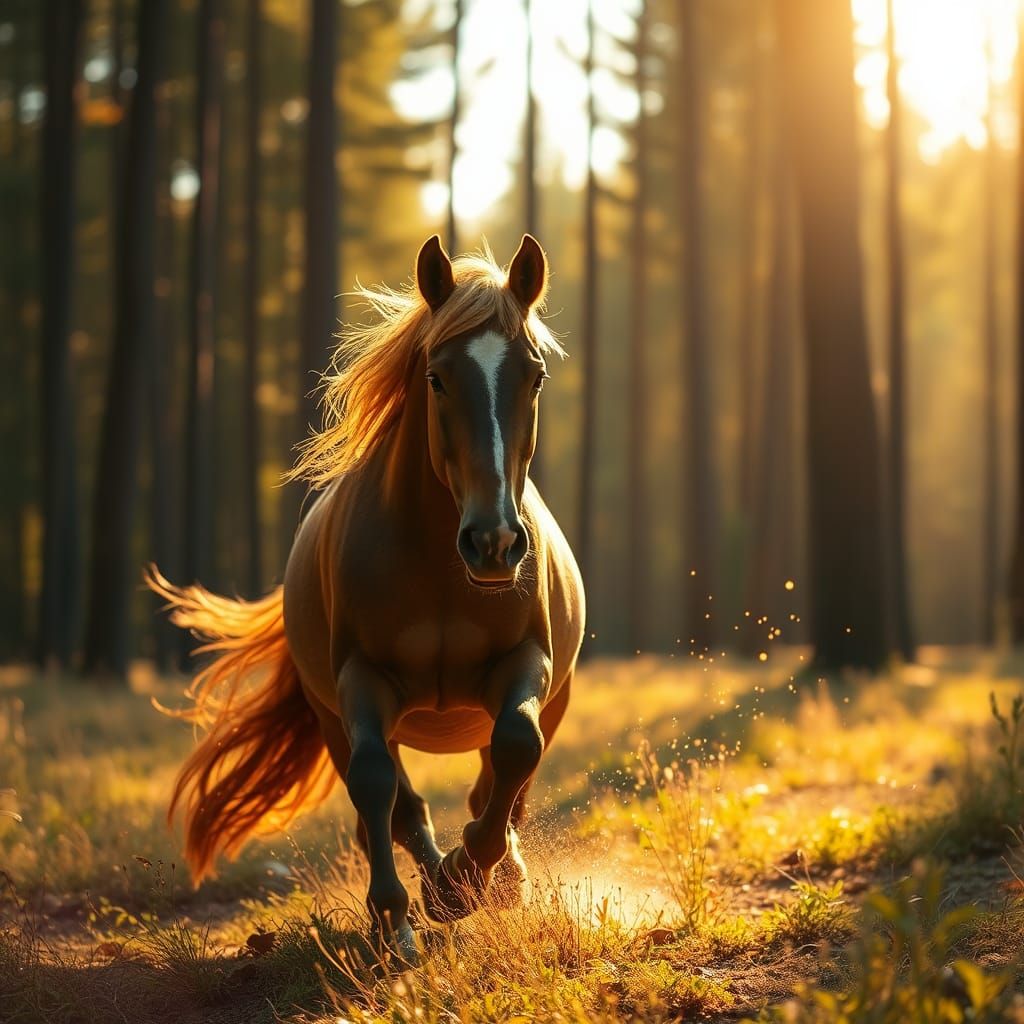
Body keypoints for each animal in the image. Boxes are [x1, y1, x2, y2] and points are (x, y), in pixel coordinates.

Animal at [148, 234, 585, 961]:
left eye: (535, 377)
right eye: (437, 377)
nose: (494, 543)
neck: (440, 572)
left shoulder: (530, 665)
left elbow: (515, 748)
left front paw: (470, 878)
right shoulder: (362, 679)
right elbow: (377, 783)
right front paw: (400, 915)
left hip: (555, 698)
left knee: (500, 785)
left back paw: (495, 878)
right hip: (331, 714)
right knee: (397, 806)